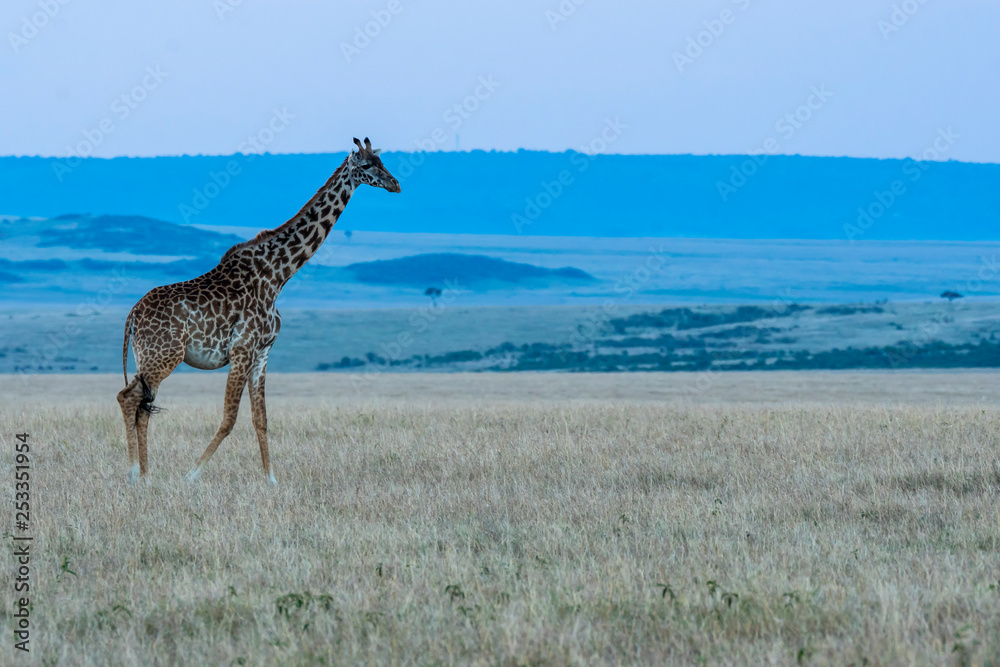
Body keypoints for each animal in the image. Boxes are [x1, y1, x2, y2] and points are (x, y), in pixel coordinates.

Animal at [116, 137, 400, 486]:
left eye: (383, 161)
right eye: (368, 165)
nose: (396, 184)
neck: (278, 275)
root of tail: (132, 315)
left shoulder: (262, 352)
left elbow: (260, 418)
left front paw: (271, 480)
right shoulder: (242, 348)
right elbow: (229, 418)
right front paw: (191, 475)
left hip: (151, 358)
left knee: (142, 406)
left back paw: (146, 475)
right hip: (164, 355)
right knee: (129, 397)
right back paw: (133, 473)